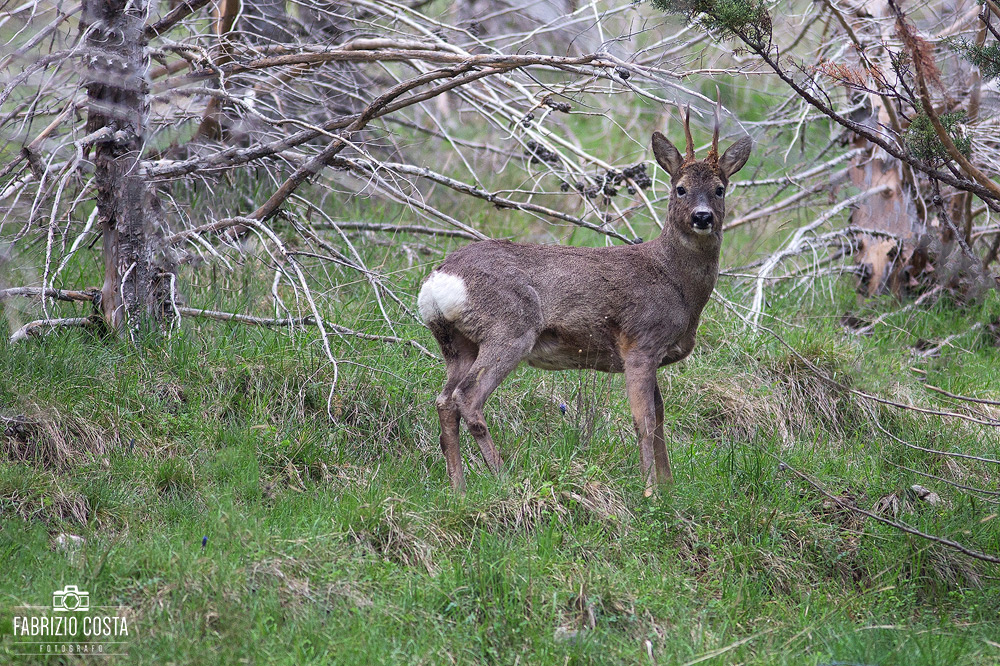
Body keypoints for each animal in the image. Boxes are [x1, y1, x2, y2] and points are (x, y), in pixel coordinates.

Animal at [416, 106, 752, 490]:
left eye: (720, 189)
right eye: (680, 188)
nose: (702, 217)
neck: (676, 283)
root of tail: (439, 281)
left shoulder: (653, 353)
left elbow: (660, 418)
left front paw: (668, 485)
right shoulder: (640, 343)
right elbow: (644, 421)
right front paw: (649, 490)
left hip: (457, 343)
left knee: (445, 400)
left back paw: (458, 488)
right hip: (510, 328)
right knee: (467, 397)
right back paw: (502, 476)